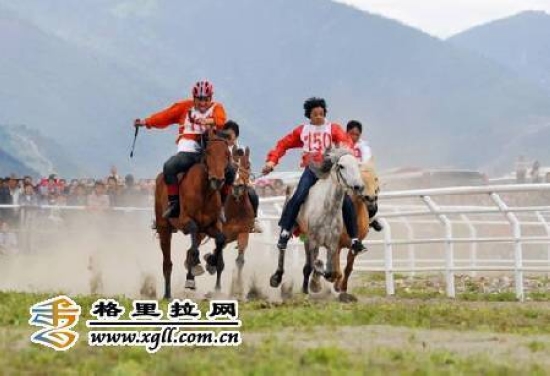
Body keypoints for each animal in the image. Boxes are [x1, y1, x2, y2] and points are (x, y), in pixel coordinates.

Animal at [154, 132, 232, 300]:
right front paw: (197, 267)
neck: (204, 192)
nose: (217, 180)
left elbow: (220, 239)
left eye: (227, 154)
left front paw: (211, 262)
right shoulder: (185, 221)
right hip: (164, 227)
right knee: (167, 262)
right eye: (208, 152)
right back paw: (167, 294)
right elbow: (193, 247)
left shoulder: (211, 225)